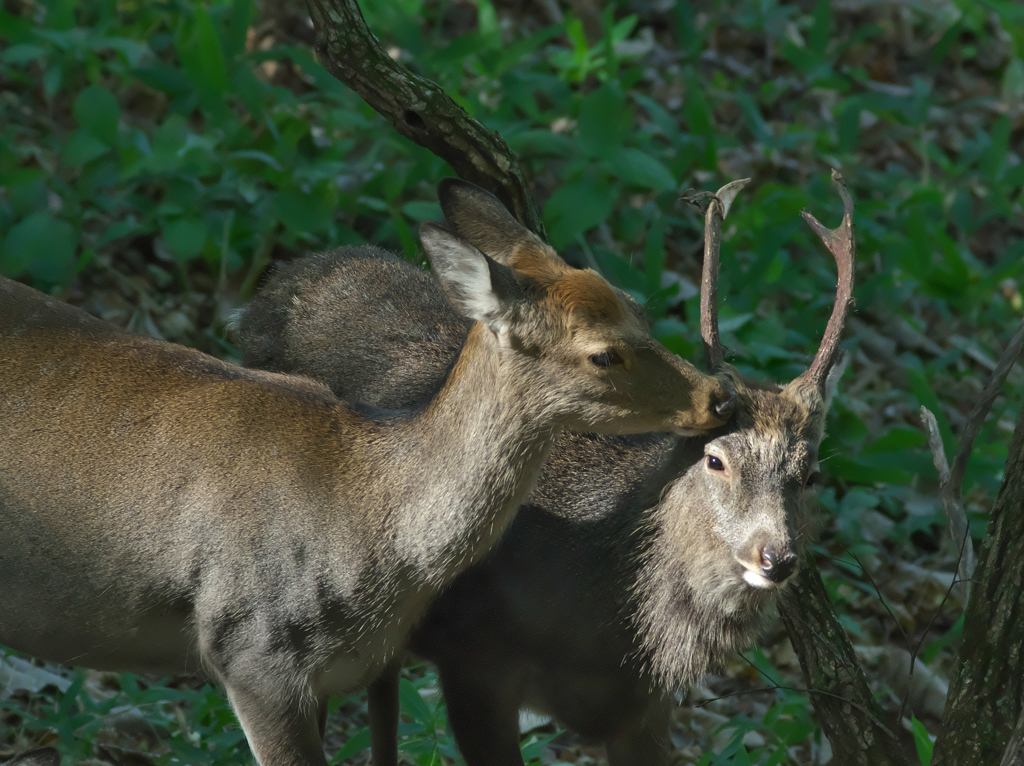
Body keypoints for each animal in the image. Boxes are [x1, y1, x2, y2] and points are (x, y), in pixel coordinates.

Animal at [234, 173, 856, 766]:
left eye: (810, 475)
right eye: (715, 459)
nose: (775, 558)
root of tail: (281, 279)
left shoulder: (644, 711)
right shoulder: (474, 660)